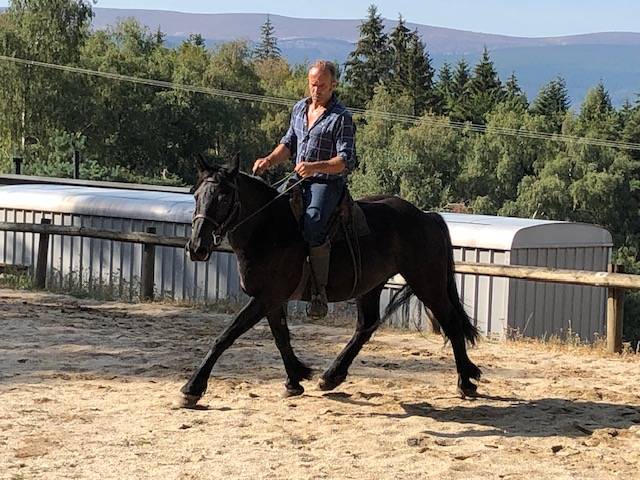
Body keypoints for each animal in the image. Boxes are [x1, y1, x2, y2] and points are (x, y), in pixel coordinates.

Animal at [180, 154, 481, 408]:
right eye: (196, 195)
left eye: (223, 197)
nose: (197, 247)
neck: (270, 229)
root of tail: (426, 216)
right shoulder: (272, 300)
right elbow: (281, 337)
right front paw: (295, 379)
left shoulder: (268, 296)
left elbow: (226, 336)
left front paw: (192, 388)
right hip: (371, 285)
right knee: (366, 326)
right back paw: (332, 375)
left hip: (427, 282)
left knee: (451, 322)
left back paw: (465, 382)